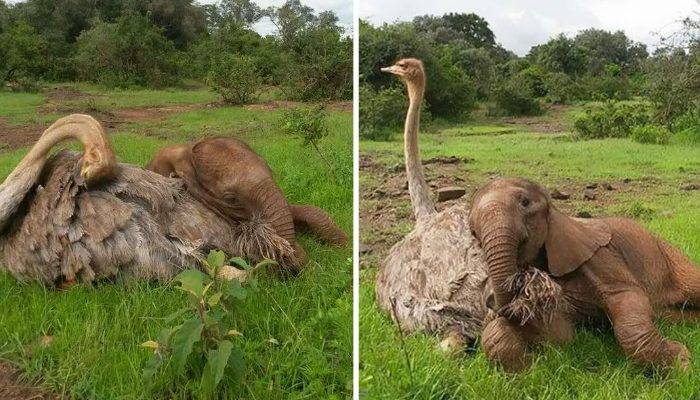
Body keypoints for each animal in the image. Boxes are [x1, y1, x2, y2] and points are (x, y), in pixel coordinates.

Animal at [470, 178, 700, 372]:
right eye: (472, 230)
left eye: (525, 202)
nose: (491, 300)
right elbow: (561, 334)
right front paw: (529, 367)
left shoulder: (600, 256)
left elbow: (627, 298)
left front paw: (682, 363)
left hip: (672, 258)